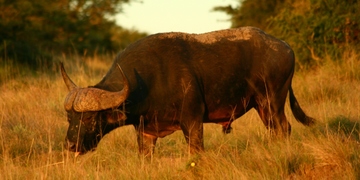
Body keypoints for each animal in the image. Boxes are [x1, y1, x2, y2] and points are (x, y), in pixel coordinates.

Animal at [62, 26, 316, 156]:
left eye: (90, 118)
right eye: (70, 117)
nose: (70, 146)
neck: (148, 82)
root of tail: (285, 47)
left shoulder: (192, 121)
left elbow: (196, 152)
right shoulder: (145, 132)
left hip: (271, 102)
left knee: (283, 128)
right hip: (263, 107)